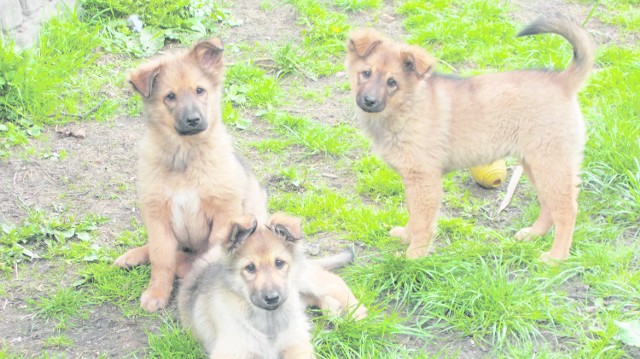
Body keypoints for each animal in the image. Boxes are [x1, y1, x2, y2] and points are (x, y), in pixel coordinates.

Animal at [114, 39, 266, 314]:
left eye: (200, 90)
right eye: (170, 96)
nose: (193, 120)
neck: (185, 155)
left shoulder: (223, 213)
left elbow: (207, 254)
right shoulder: (157, 215)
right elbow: (161, 256)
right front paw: (157, 292)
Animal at [344, 14, 596, 264]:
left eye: (392, 82)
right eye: (366, 73)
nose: (369, 101)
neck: (407, 107)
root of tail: (562, 82)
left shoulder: (424, 179)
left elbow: (423, 220)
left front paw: (414, 256)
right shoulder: (413, 179)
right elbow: (413, 213)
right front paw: (407, 237)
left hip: (551, 162)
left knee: (567, 209)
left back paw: (557, 256)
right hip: (536, 164)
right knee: (548, 204)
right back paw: (533, 235)